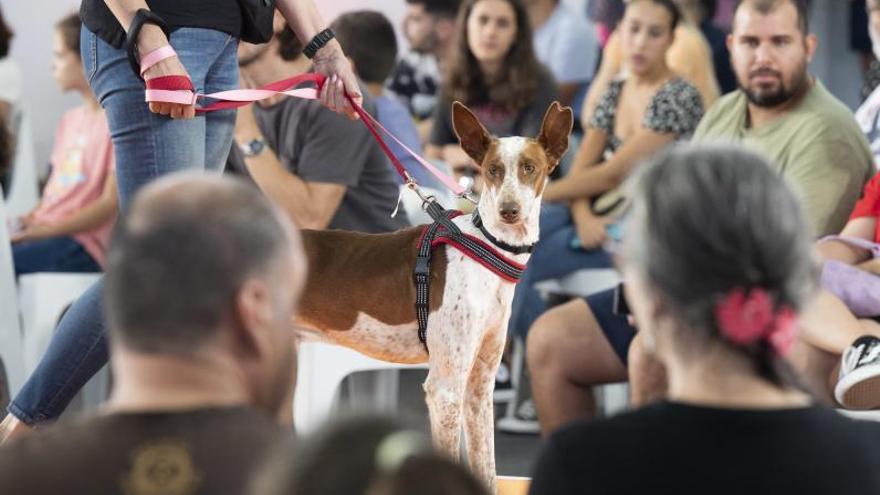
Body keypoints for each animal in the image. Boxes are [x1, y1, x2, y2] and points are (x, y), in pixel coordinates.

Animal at [292, 101, 576, 492]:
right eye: (492, 170)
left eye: (529, 168)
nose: (509, 210)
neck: (489, 247)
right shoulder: (445, 390)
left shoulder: (479, 388)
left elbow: (487, 469)